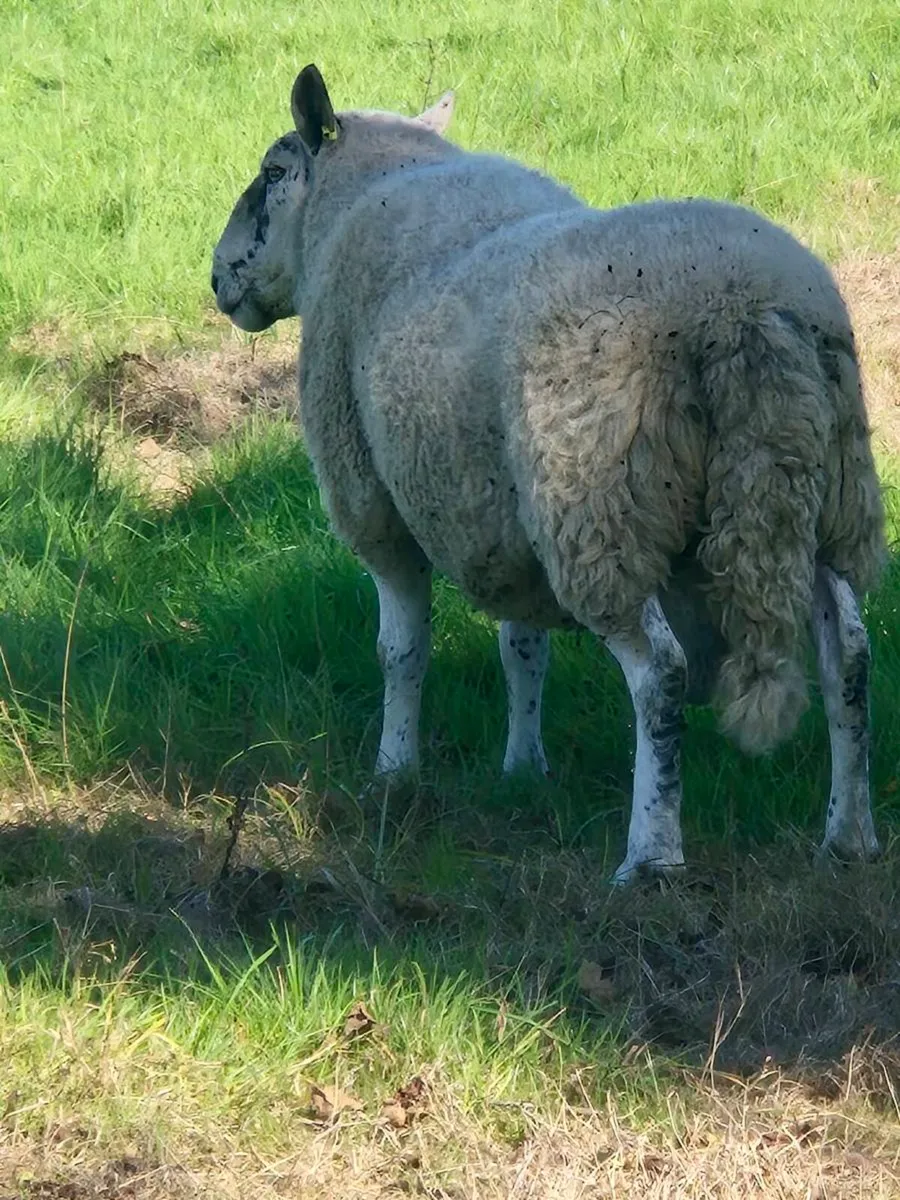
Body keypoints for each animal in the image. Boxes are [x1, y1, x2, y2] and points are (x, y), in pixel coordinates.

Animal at [212, 65, 886, 883]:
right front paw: (522, 769)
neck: (367, 191)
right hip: (813, 493)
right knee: (848, 652)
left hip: (598, 507)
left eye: (275, 173)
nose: (217, 278)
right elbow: (522, 649)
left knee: (659, 674)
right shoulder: (498, 513)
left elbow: (400, 652)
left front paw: (394, 771)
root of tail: (740, 310)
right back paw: (849, 835)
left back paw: (651, 857)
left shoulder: (376, 506)